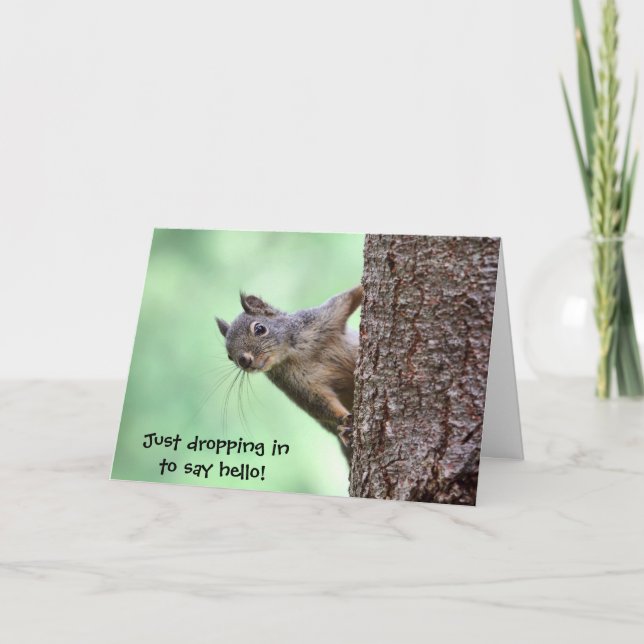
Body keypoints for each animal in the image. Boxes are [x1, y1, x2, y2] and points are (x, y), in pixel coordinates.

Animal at [216, 285, 363, 456]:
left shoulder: (321, 318)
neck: (294, 352)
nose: (244, 361)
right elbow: (319, 402)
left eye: (259, 329)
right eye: (229, 356)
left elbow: (347, 299)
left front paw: (362, 287)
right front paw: (343, 418)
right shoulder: (294, 383)